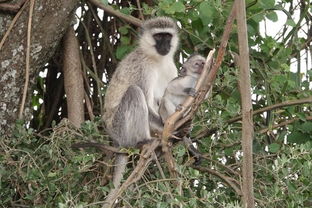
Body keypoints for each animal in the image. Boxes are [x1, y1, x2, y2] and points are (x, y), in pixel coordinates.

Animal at [103, 16, 179, 197]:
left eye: (167, 36)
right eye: (158, 37)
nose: (164, 45)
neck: (157, 60)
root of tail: (116, 141)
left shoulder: (170, 68)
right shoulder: (143, 68)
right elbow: (147, 102)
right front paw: (171, 129)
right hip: (119, 128)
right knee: (134, 92)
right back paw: (145, 141)